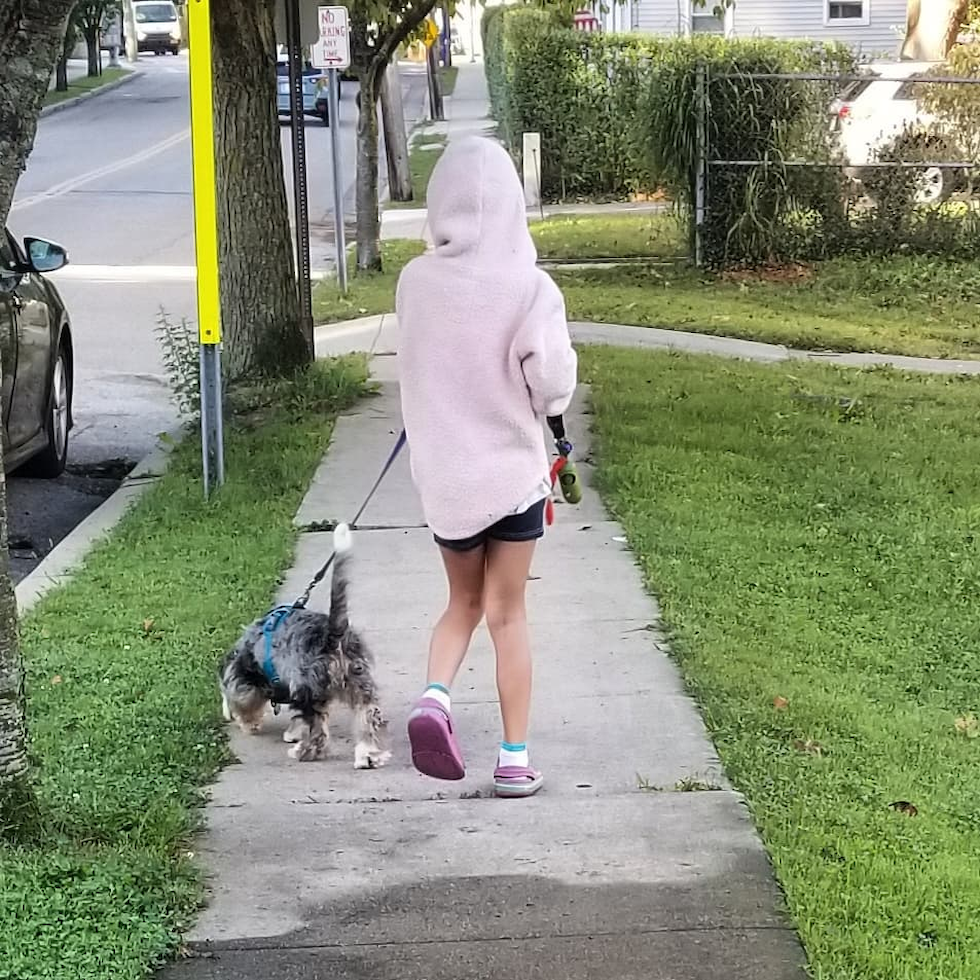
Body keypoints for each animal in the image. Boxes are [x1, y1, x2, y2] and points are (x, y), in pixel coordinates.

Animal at [218, 524, 390, 768]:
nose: (229, 716)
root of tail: (331, 636)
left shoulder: (255, 683)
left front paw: (250, 723)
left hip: (309, 688)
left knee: (318, 733)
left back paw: (303, 752)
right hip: (359, 684)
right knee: (365, 718)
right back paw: (367, 756)